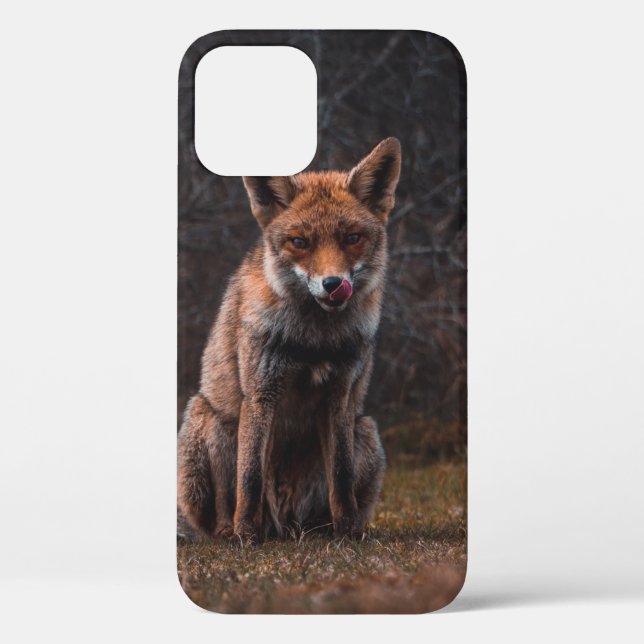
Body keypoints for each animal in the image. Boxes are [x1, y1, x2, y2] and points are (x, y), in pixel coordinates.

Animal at [178, 137, 402, 541]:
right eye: (300, 242)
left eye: (352, 238)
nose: (333, 284)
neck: (314, 342)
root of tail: (284, 527)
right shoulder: (261, 393)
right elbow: (250, 478)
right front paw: (246, 536)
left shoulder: (339, 397)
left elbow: (341, 477)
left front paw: (348, 534)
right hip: (211, 419)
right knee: (223, 508)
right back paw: (232, 532)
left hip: (364, 429)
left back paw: (328, 530)